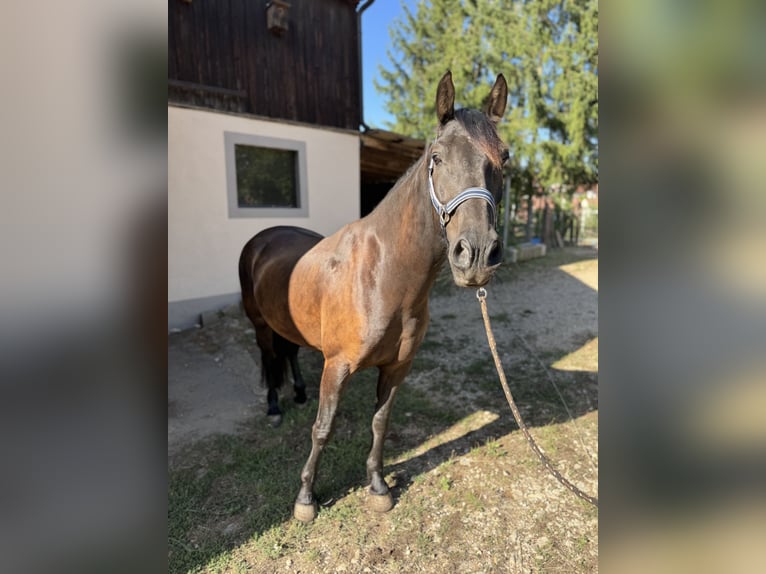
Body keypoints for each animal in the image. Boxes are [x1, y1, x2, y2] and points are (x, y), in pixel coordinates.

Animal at [238, 70, 508, 522]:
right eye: (437, 157)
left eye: (503, 158)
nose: (476, 254)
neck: (383, 276)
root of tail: (263, 236)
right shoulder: (337, 366)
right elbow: (323, 428)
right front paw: (306, 498)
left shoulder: (398, 367)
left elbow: (380, 423)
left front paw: (378, 486)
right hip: (259, 323)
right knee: (269, 356)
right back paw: (275, 407)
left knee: (289, 352)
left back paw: (298, 393)